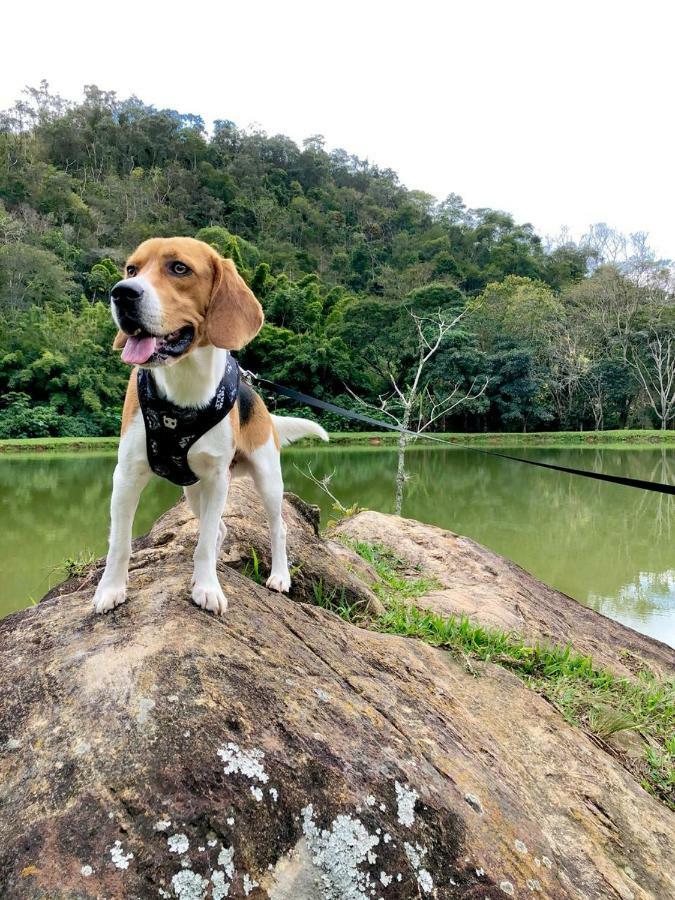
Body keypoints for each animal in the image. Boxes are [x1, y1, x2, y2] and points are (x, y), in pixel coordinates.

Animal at [93, 237, 328, 620]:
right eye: (131, 269)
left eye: (179, 268)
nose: (122, 293)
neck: (184, 387)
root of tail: (255, 395)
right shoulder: (126, 475)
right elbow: (120, 543)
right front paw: (111, 590)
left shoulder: (218, 477)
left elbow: (203, 544)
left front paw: (207, 588)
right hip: (192, 490)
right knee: (217, 527)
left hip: (267, 480)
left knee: (276, 529)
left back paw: (279, 576)